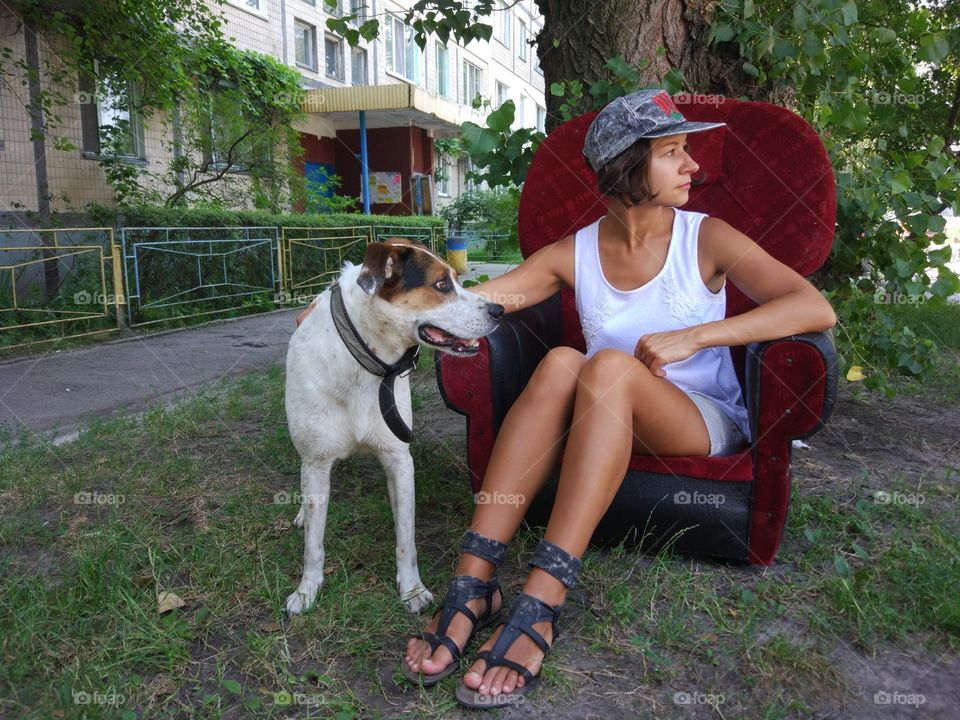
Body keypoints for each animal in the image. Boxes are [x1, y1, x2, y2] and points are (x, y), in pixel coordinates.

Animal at [282, 238, 502, 612]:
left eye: (457, 280)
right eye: (441, 285)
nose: (500, 310)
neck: (363, 363)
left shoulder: (400, 459)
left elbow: (406, 535)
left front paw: (412, 589)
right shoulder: (316, 461)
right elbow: (314, 541)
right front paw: (306, 590)